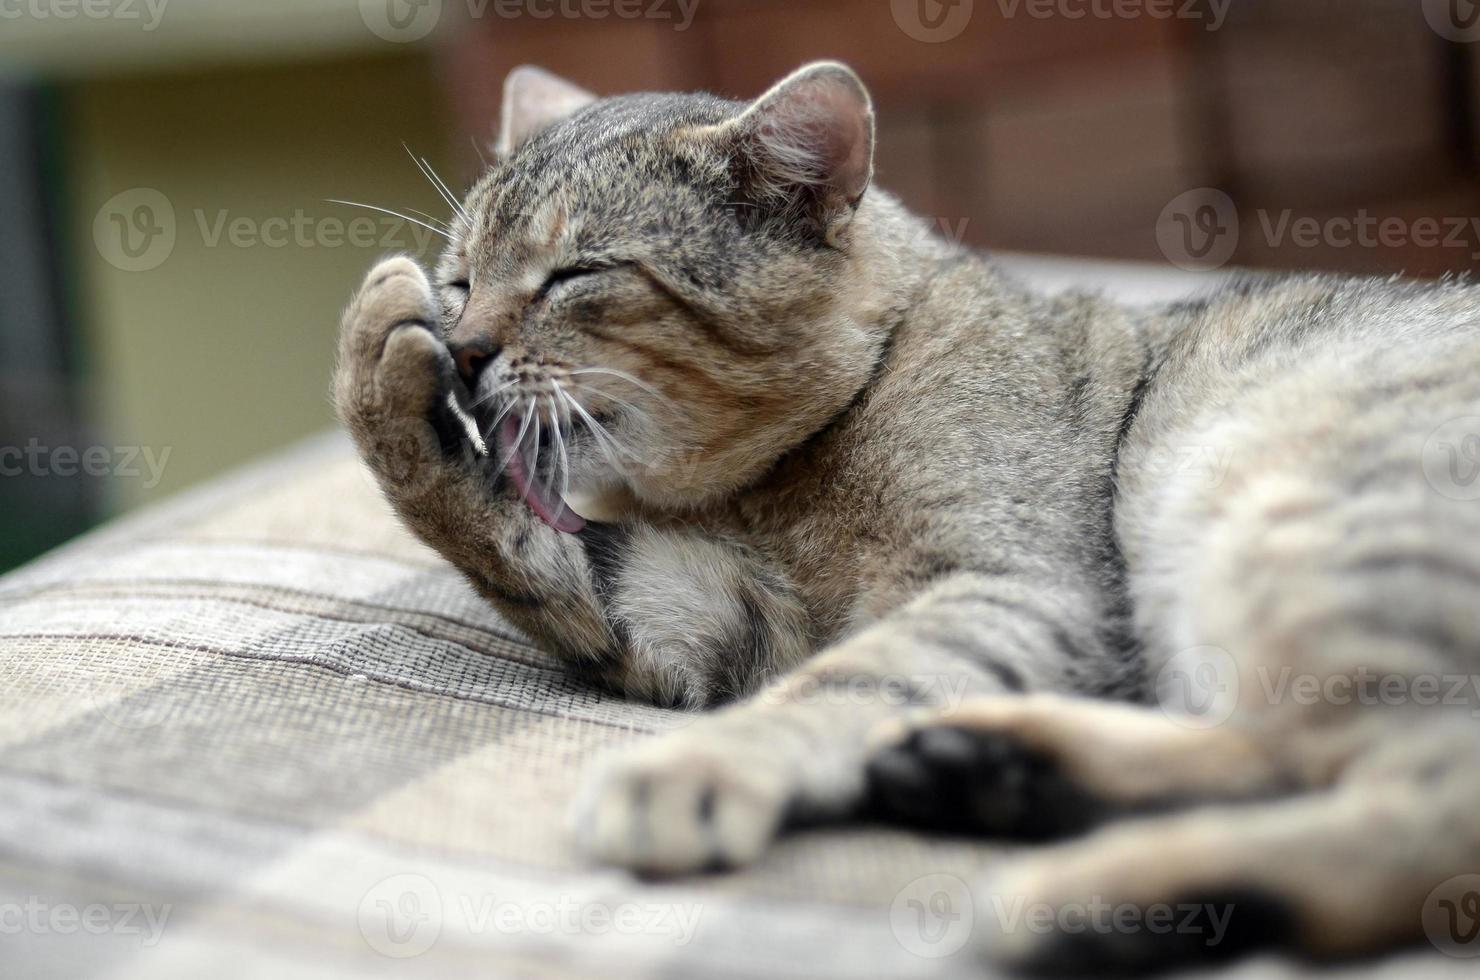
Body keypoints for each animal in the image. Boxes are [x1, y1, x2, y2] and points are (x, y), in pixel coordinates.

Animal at [335, 61, 1480, 977]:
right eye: (461, 280)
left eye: (577, 273)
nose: (465, 347)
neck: (774, 483)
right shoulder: (706, 616)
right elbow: (510, 540)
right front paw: (381, 367)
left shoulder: (1013, 583)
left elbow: (839, 682)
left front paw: (695, 766)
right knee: (1288, 756)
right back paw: (999, 773)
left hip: (1300, 521)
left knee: (1419, 807)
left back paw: (1086, 893)